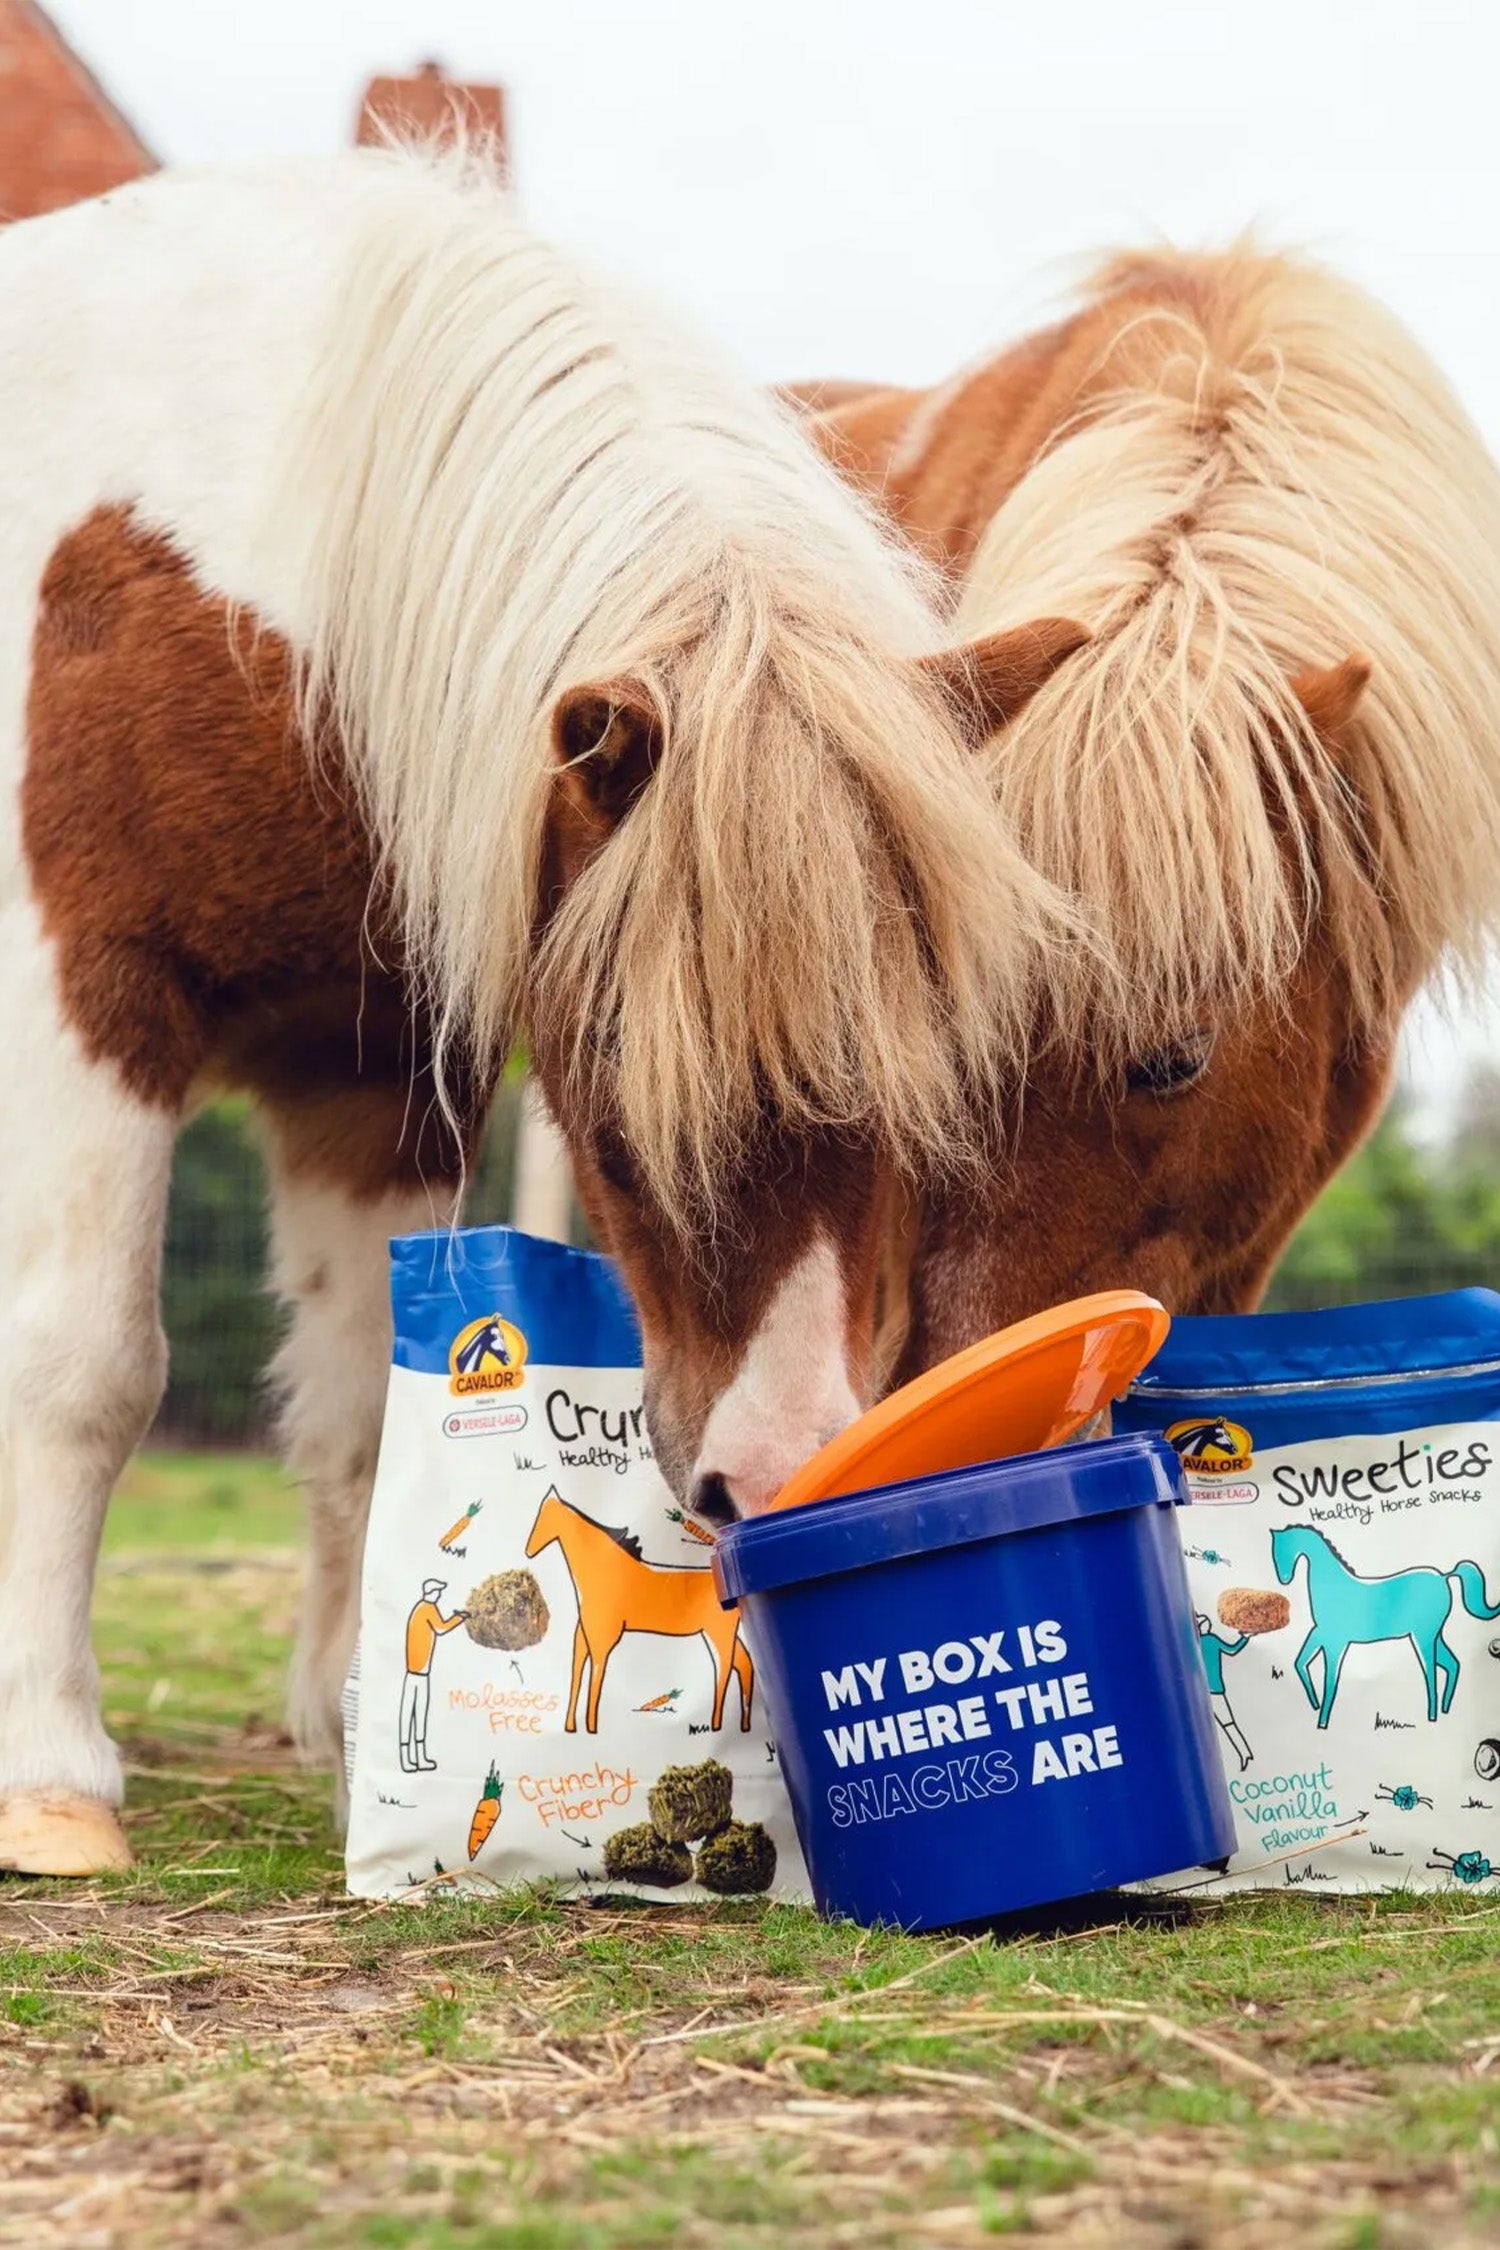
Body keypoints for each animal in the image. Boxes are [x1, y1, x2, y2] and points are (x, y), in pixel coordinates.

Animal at [524, 1490, 752, 1733]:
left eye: (545, 1517)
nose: (528, 1551)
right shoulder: (583, 1635)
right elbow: (577, 1673)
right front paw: (571, 1726)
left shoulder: (602, 1639)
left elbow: (596, 1677)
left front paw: (591, 1727)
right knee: (744, 1664)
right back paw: (740, 1723)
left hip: (718, 1634)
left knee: (725, 1668)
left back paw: (716, 1724)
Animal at [1271, 1525, 1500, 1727]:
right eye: (1275, 1552)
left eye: (1281, 1549)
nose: (1284, 1579)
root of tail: (1444, 1576)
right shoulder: (1320, 1634)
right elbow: (1300, 1663)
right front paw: (1316, 1705)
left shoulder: (1336, 1642)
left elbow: (1330, 1682)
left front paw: (1322, 1722)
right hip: (1436, 1636)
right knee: (1453, 1664)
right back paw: (1443, 1710)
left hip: (1423, 1636)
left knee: (1431, 1673)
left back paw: (1432, 1715)